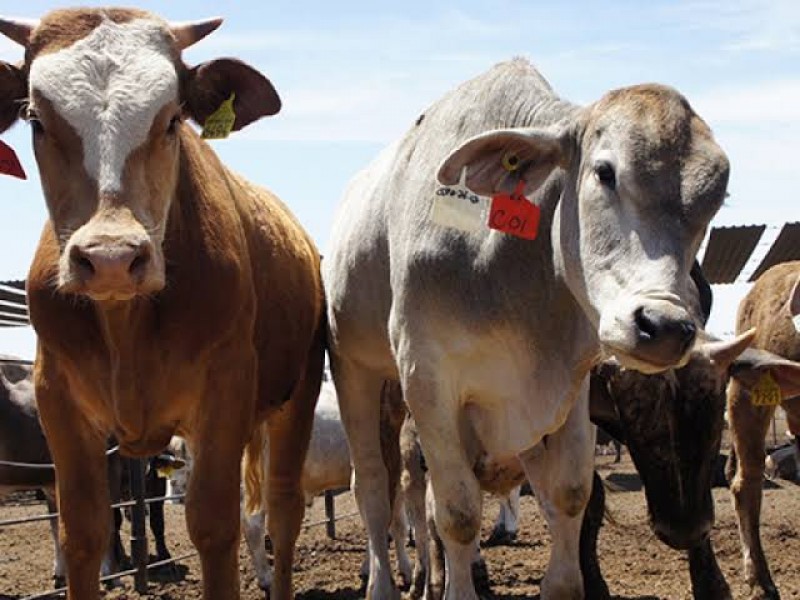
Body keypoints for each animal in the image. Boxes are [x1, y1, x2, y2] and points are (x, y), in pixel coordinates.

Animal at [0, 9, 324, 600]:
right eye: (36, 119)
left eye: (172, 119)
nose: (110, 258)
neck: (125, 325)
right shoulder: (57, 397)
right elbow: (84, 532)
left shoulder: (225, 389)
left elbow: (214, 526)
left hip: (299, 393)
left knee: (285, 509)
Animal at [326, 57, 732, 600]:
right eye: (605, 172)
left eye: (715, 201)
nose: (664, 325)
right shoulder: (427, 383)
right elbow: (455, 512)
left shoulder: (569, 388)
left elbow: (570, 494)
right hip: (358, 372)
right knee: (373, 485)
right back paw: (383, 583)